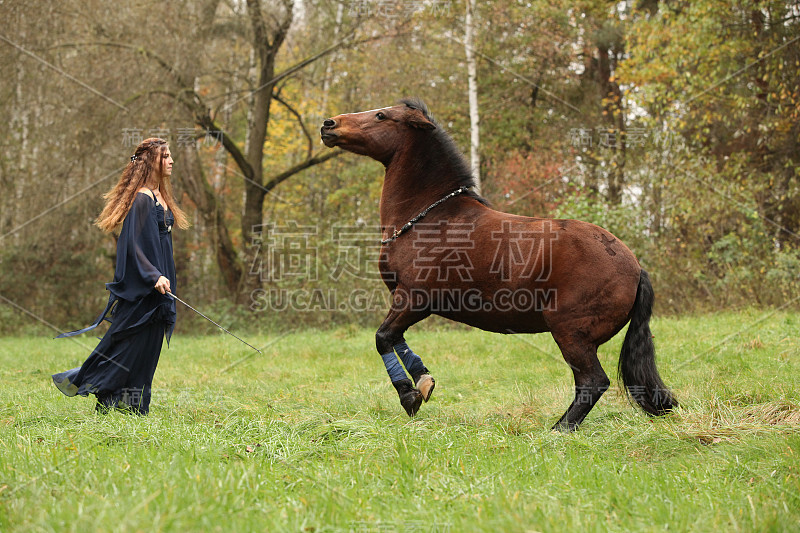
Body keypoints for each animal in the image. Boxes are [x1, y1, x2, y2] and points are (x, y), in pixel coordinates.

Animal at [322, 97, 680, 430]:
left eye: (381, 115)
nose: (329, 124)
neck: (430, 217)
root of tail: (635, 268)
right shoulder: (406, 299)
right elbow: (395, 338)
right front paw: (423, 380)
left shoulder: (415, 297)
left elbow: (383, 337)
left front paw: (410, 395)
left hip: (571, 333)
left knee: (593, 382)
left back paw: (558, 430)